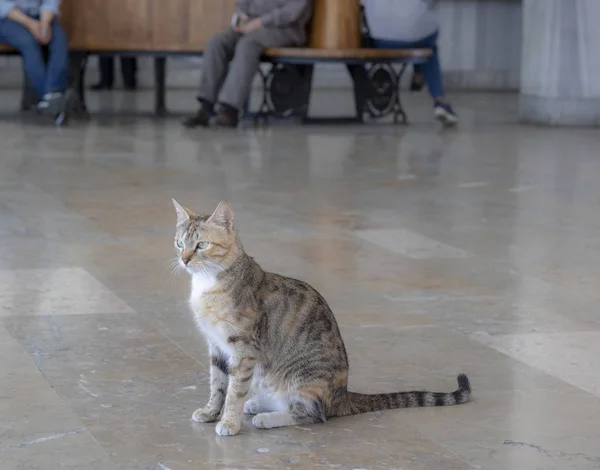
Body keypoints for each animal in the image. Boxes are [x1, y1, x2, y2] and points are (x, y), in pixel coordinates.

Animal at [171, 199, 472, 436]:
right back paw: (259, 403)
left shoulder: (243, 349)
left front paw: (229, 423)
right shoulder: (216, 347)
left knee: (313, 413)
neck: (209, 284)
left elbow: (234, 391)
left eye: (202, 245)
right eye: (180, 243)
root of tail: (343, 395)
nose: (184, 259)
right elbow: (218, 384)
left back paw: (268, 417)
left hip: (302, 377)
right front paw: (211, 412)